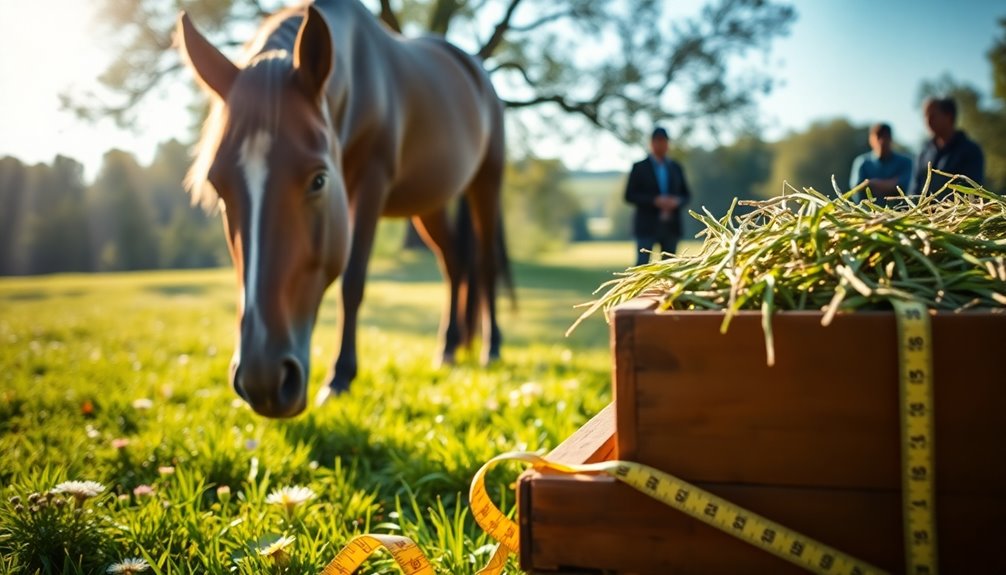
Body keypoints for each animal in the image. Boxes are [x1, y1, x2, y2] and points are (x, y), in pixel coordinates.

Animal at [174, 0, 515, 416]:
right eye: (218, 188)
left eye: (319, 180)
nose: (262, 381)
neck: (359, 78)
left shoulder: (370, 184)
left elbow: (352, 282)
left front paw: (339, 377)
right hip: (430, 202)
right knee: (456, 263)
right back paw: (449, 348)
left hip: (486, 182)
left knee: (484, 264)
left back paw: (490, 348)